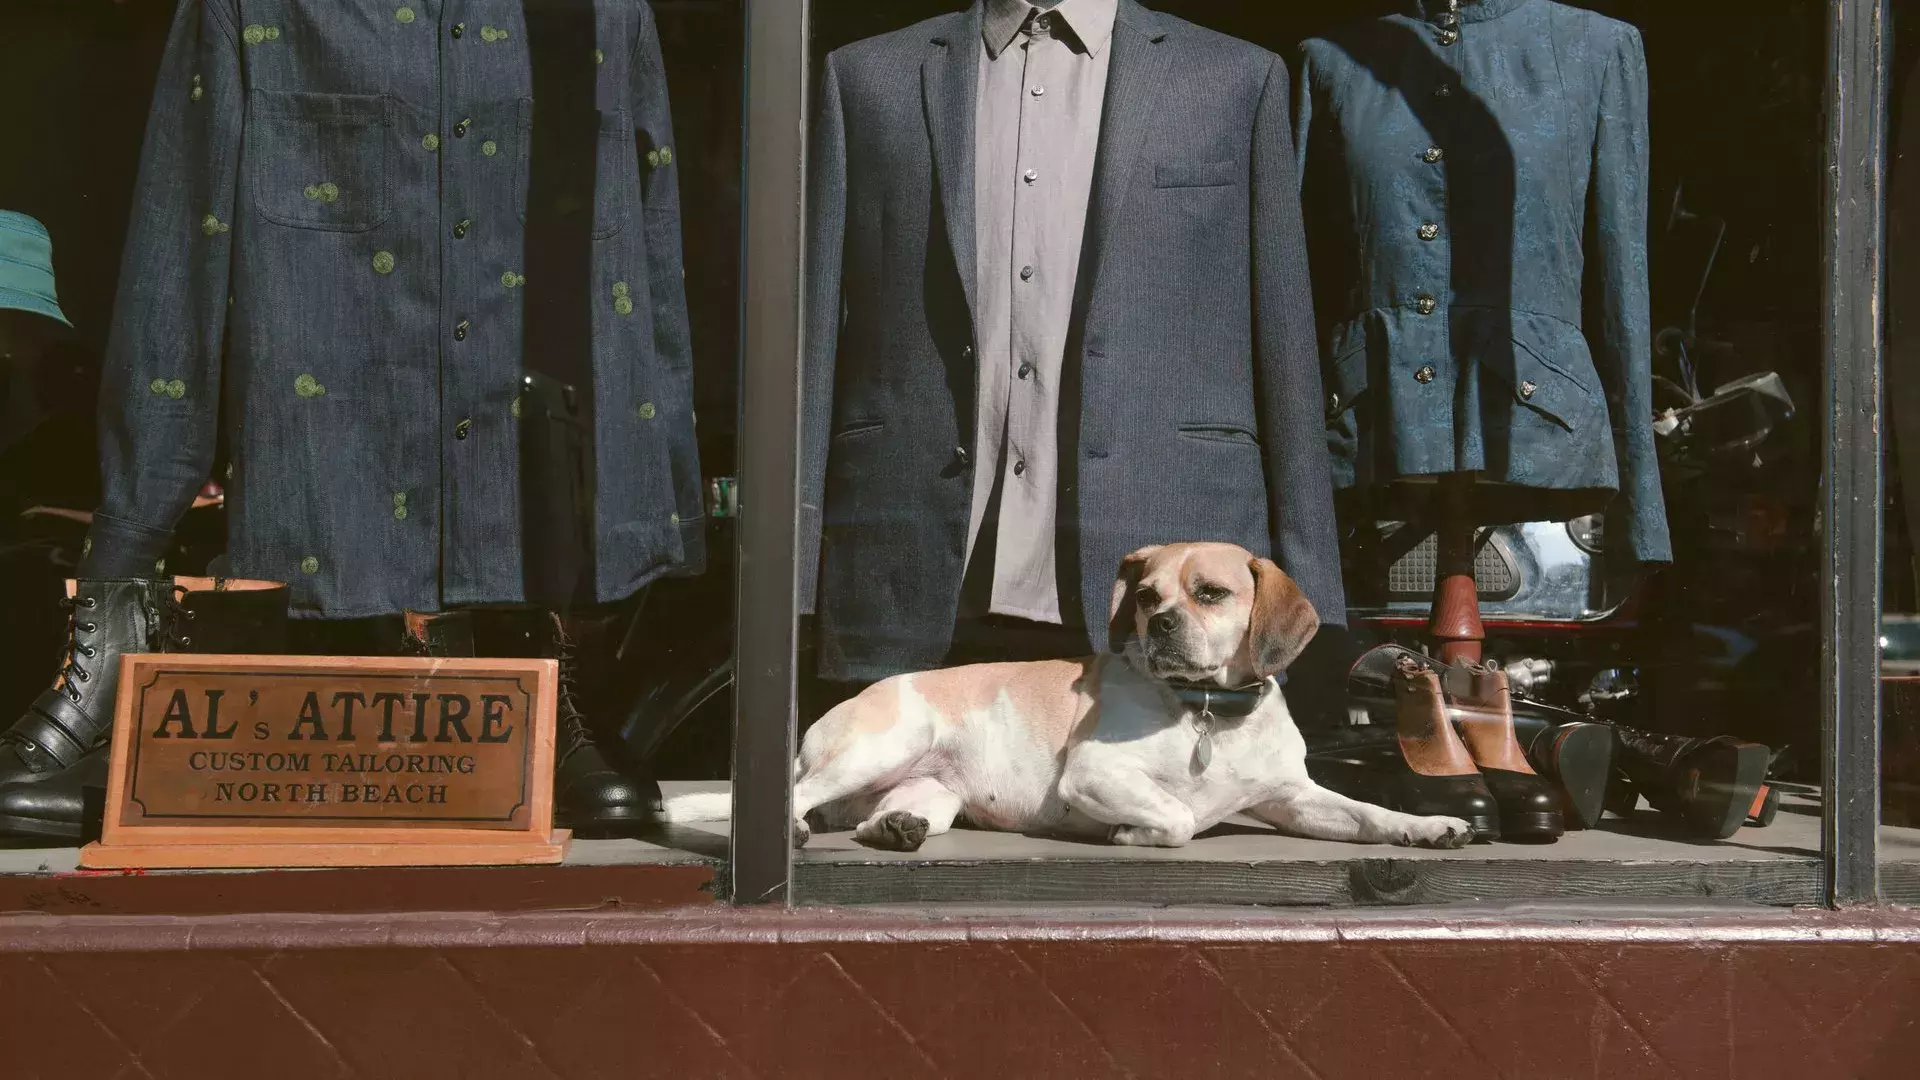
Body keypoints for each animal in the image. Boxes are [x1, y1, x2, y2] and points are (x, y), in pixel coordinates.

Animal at [668, 538, 1474, 849]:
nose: (1161, 623)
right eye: (1145, 597)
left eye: (1211, 593)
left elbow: (1368, 814)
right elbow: (1178, 817)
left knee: (873, 819)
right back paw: (792, 830)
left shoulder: (1295, 798)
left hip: (931, 792)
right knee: (796, 800)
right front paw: (1134, 832)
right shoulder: (1095, 774)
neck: (1209, 715)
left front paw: (1427, 825)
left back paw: (891, 830)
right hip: (884, 745)